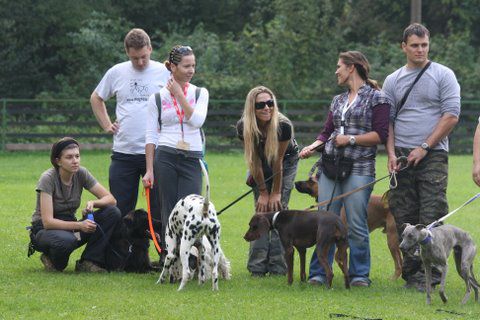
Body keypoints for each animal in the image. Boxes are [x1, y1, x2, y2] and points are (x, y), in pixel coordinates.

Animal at [157, 159, 226, 290]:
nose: (173, 280)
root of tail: (204, 206)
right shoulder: (201, 250)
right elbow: (202, 273)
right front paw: (201, 283)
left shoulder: (171, 253)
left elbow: (165, 269)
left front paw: (160, 281)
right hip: (215, 248)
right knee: (215, 273)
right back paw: (215, 290)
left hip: (184, 248)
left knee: (187, 273)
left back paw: (180, 290)